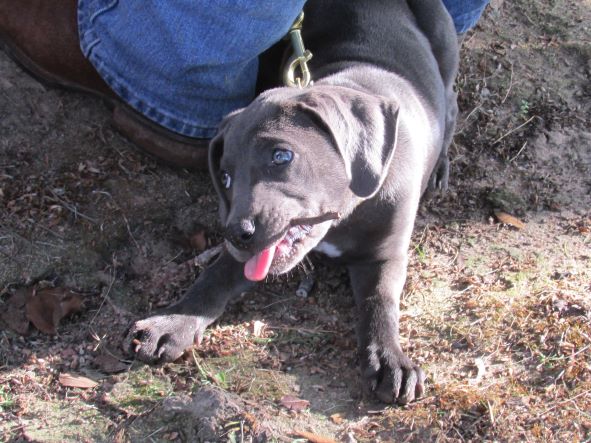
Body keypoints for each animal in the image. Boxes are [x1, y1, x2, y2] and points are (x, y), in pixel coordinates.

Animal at [126, 0, 458, 405]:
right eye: (225, 178)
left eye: (281, 156)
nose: (235, 234)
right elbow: (213, 278)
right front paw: (172, 322)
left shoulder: (386, 254)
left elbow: (379, 302)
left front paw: (389, 359)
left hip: (444, 40)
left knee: (451, 103)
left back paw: (440, 165)